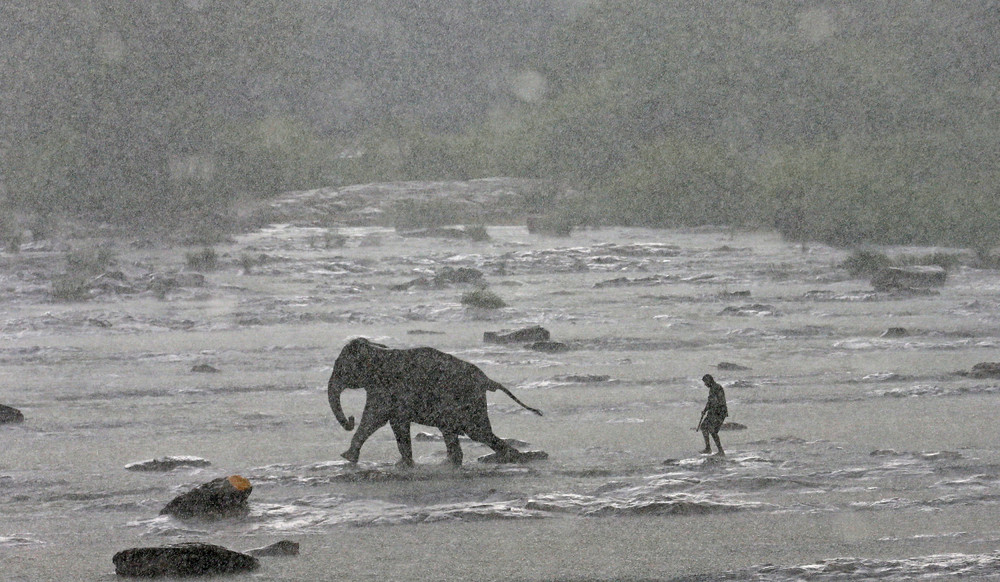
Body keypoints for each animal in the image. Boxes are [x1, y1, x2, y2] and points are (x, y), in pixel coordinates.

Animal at [330, 338, 544, 470]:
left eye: (340, 369)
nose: (350, 419)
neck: (377, 350)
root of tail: (488, 380)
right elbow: (395, 422)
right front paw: (403, 465)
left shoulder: (385, 389)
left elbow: (375, 418)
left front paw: (346, 457)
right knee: (455, 431)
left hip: (467, 400)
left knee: (478, 433)